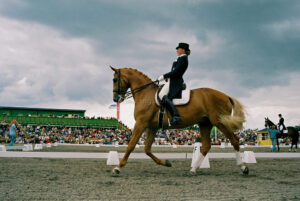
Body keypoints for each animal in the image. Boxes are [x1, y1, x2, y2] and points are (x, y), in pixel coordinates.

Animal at [110, 66, 248, 175]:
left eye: (115, 80)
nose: (115, 99)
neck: (145, 93)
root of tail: (226, 96)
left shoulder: (141, 123)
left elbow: (131, 145)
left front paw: (117, 167)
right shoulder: (152, 127)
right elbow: (147, 149)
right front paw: (167, 163)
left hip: (219, 122)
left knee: (234, 141)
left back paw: (243, 167)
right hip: (205, 124)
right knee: (206, 146)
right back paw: (193, 169)